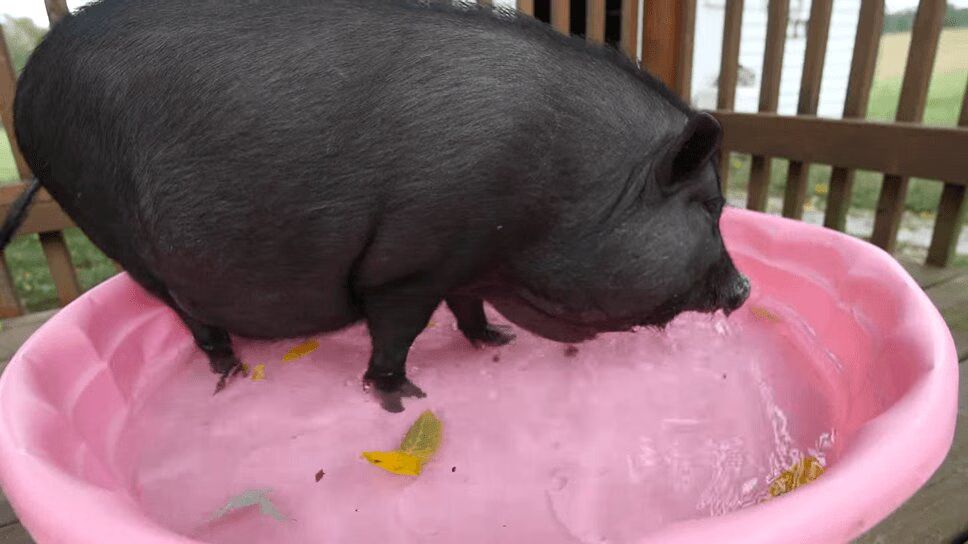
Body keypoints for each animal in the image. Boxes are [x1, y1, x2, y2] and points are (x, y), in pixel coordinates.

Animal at [4, 0, 749, 412]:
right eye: (709, 206)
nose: (744, 288)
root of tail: (26, 91)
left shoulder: (466, 259)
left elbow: (467, 307)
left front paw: (495, 343)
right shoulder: (407, 265)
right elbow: (397, 332)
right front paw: (403, 398)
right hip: (113, 225)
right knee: (189, 313)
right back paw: (231, 372)